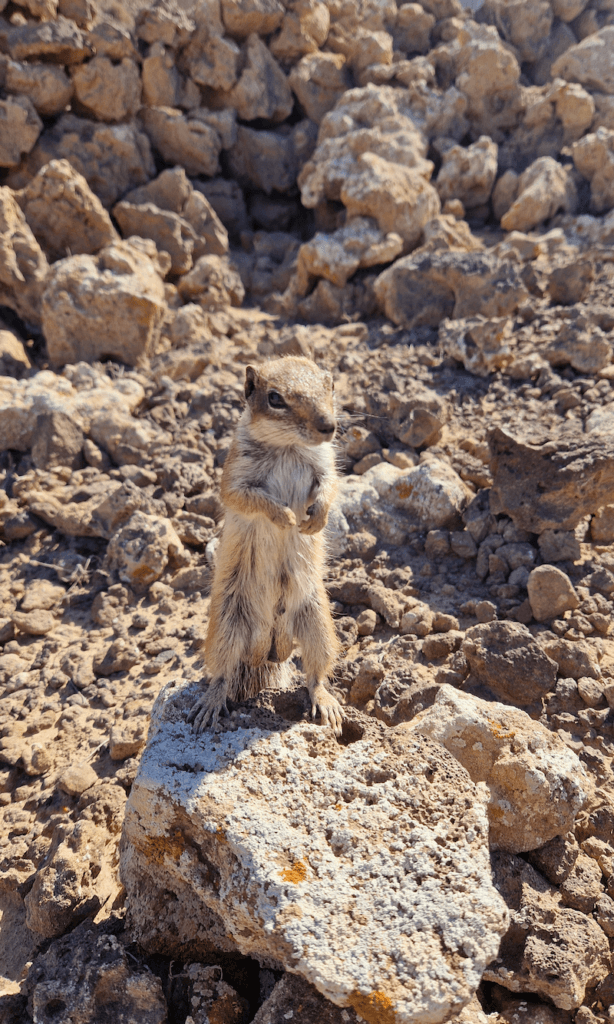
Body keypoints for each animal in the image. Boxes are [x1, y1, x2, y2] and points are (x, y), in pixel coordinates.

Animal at [186, 356, 345, 733]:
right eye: (275, 398)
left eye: (330, 387)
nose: (328, 426)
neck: (288, 447)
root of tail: (268, 649)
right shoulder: (236, 473)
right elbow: (247, 498)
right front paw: (285, 517)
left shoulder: (326, 464)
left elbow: (330, 486)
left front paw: (314, 519)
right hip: (226, 625)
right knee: (222, 674)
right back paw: (208, 706)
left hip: (318, 622)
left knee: (316, 673)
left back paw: (325, 703)